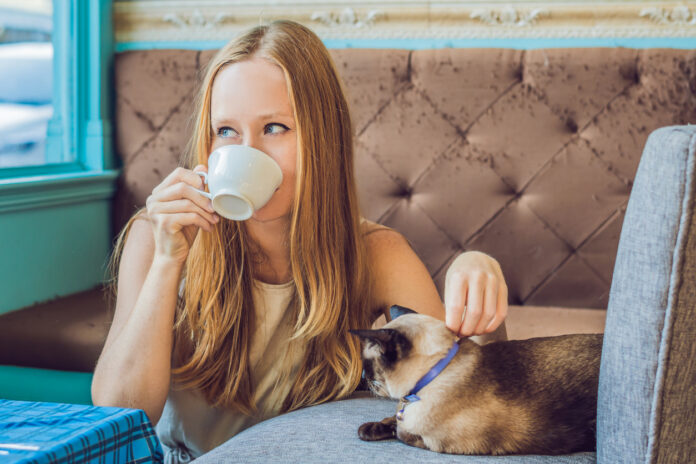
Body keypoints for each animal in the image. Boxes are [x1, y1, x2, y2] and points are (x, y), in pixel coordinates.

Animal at [350, 310, 600, 454]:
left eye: (367, 365)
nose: (364, 378)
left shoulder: (434, 442)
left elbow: (403, 432)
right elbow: (390, 419)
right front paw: (370, 429)